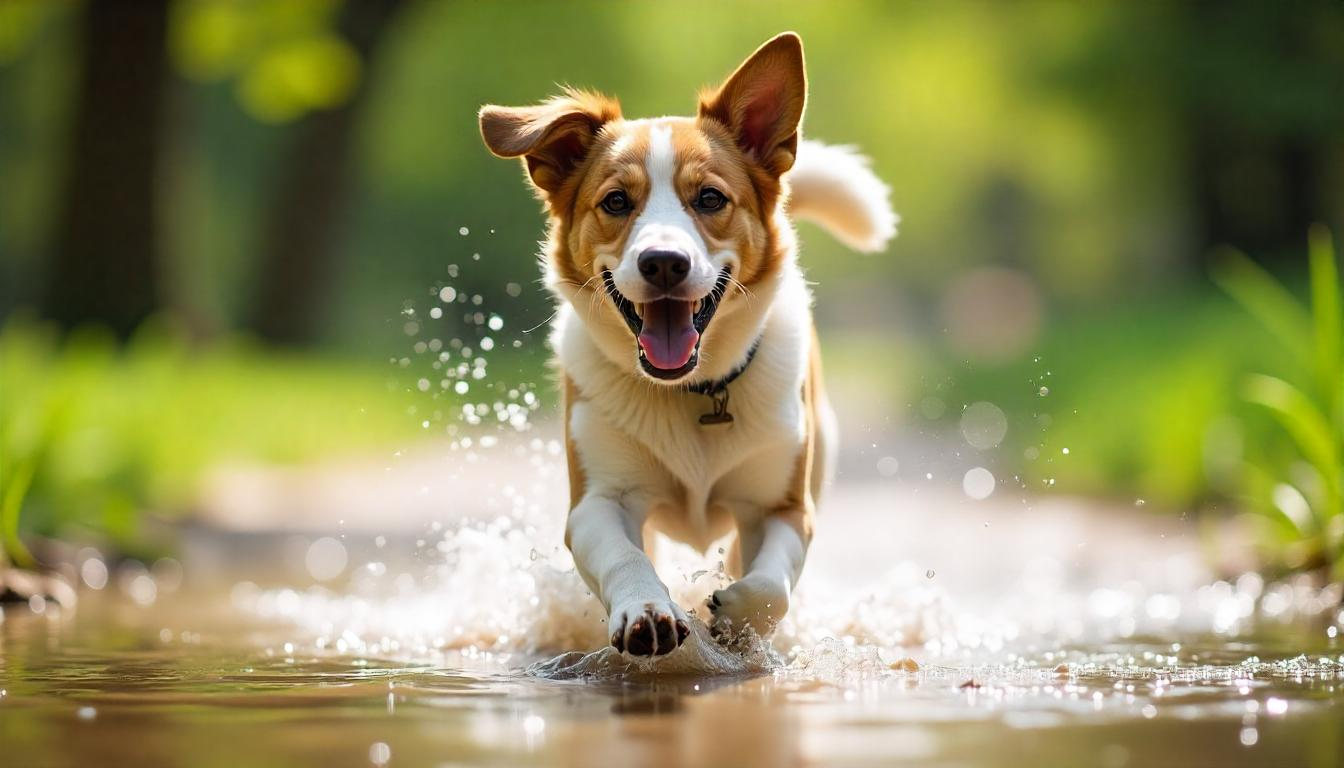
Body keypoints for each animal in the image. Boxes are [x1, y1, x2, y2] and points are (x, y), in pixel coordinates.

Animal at [478, 30, 897, 656]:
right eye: (616, 202)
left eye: (709, 198)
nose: (664, 262)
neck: (692, 391)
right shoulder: (598, 502)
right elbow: (625, 558)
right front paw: (647, 611)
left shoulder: (784, 507)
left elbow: (772, 583)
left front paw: (736, 612)